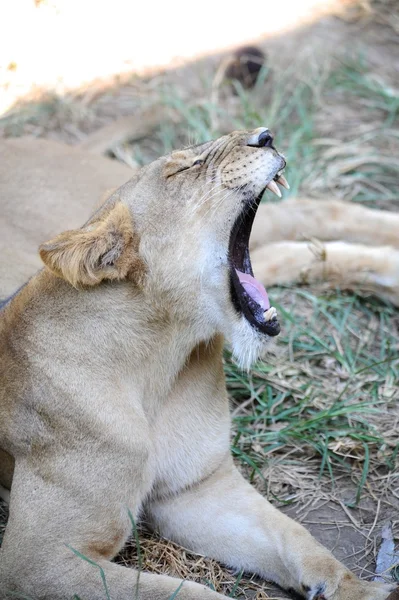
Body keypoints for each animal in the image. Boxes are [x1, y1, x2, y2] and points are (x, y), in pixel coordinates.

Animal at [0, 127, 398, 600]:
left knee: (311, 213)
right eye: (184, 168)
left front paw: (359, 589)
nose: (265, 135)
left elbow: (296, 538)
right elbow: (183, 592)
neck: (158, 359)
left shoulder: (200, 486)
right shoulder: (38, 561)